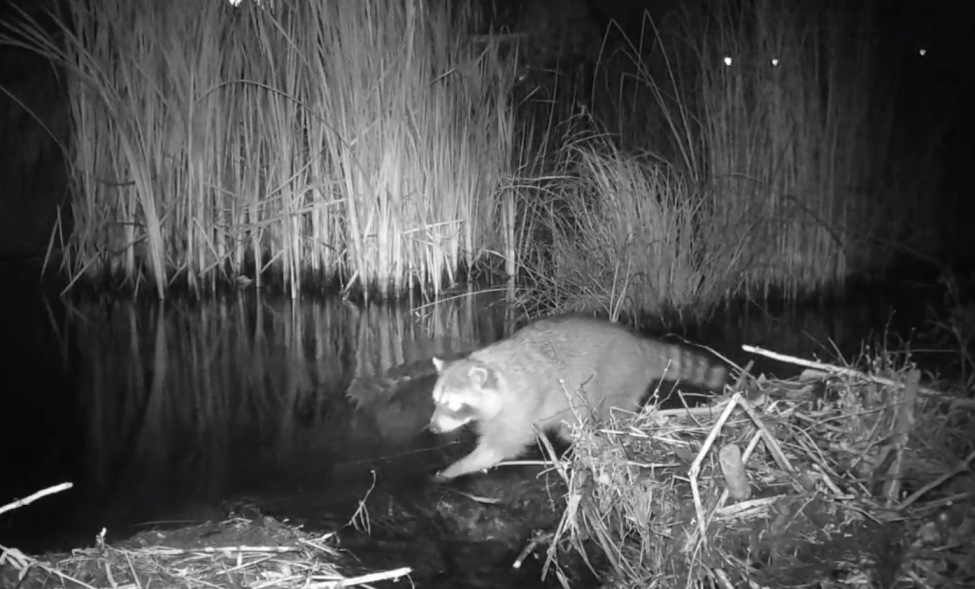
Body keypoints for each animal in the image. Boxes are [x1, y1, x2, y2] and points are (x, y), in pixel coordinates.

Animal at [428, 314, 724, 480]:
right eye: (436, 402)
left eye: (454, 405)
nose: (432, 428)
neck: (495, 371)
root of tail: (638, 343)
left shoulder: (520, 408)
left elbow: (500, 447)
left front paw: (457, 468)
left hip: (616, 374)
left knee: (609, 413)